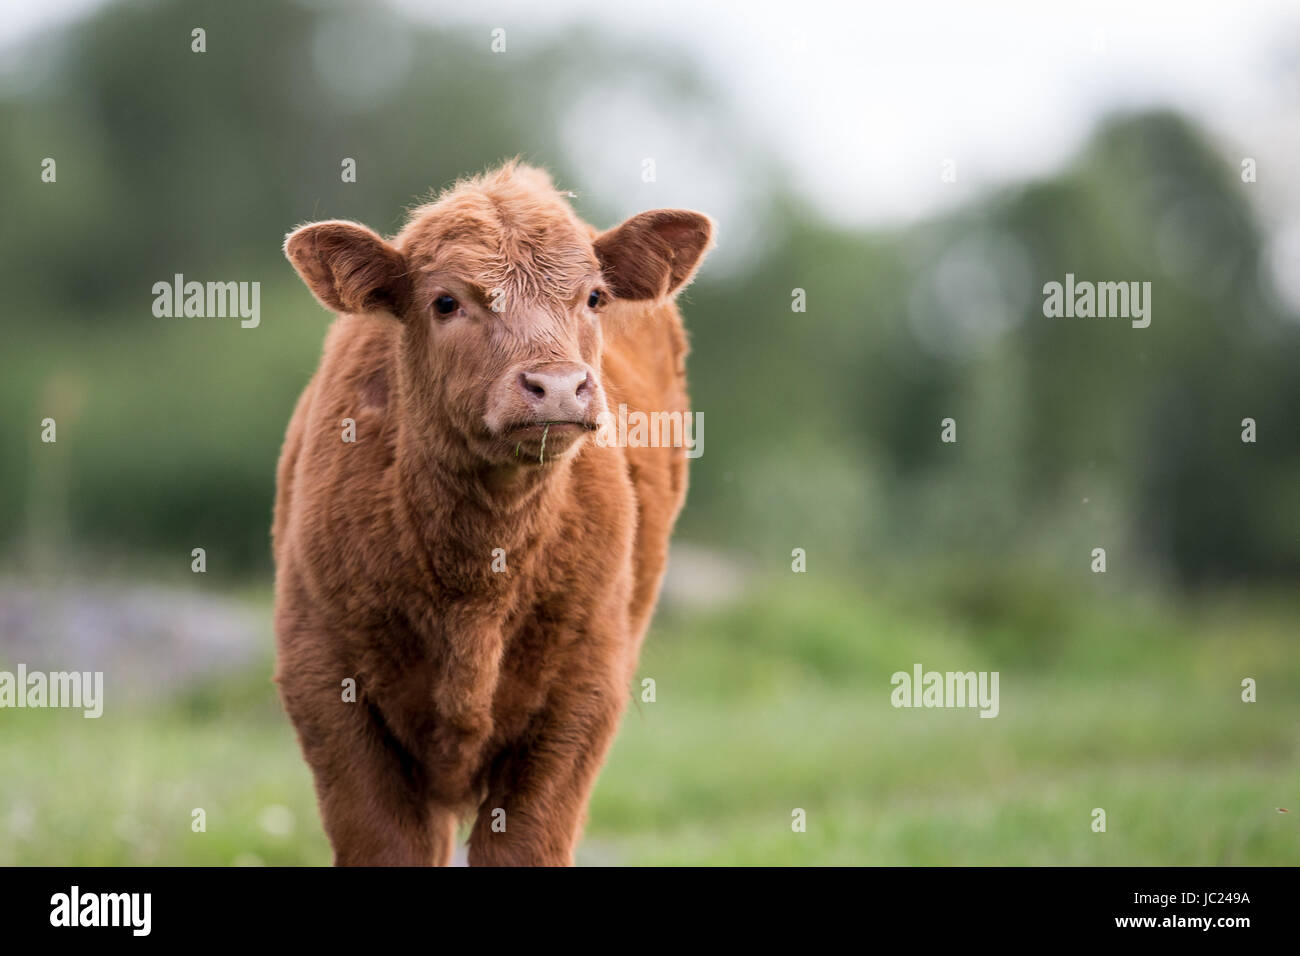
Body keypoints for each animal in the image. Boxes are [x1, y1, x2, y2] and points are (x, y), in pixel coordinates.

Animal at [271, 162, 712, 865]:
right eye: (447, 302)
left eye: (594, 297)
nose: (557, 386)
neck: (477, 579)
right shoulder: (321, 677)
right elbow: (383, 842)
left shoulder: (585, 689)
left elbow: (525, 843)